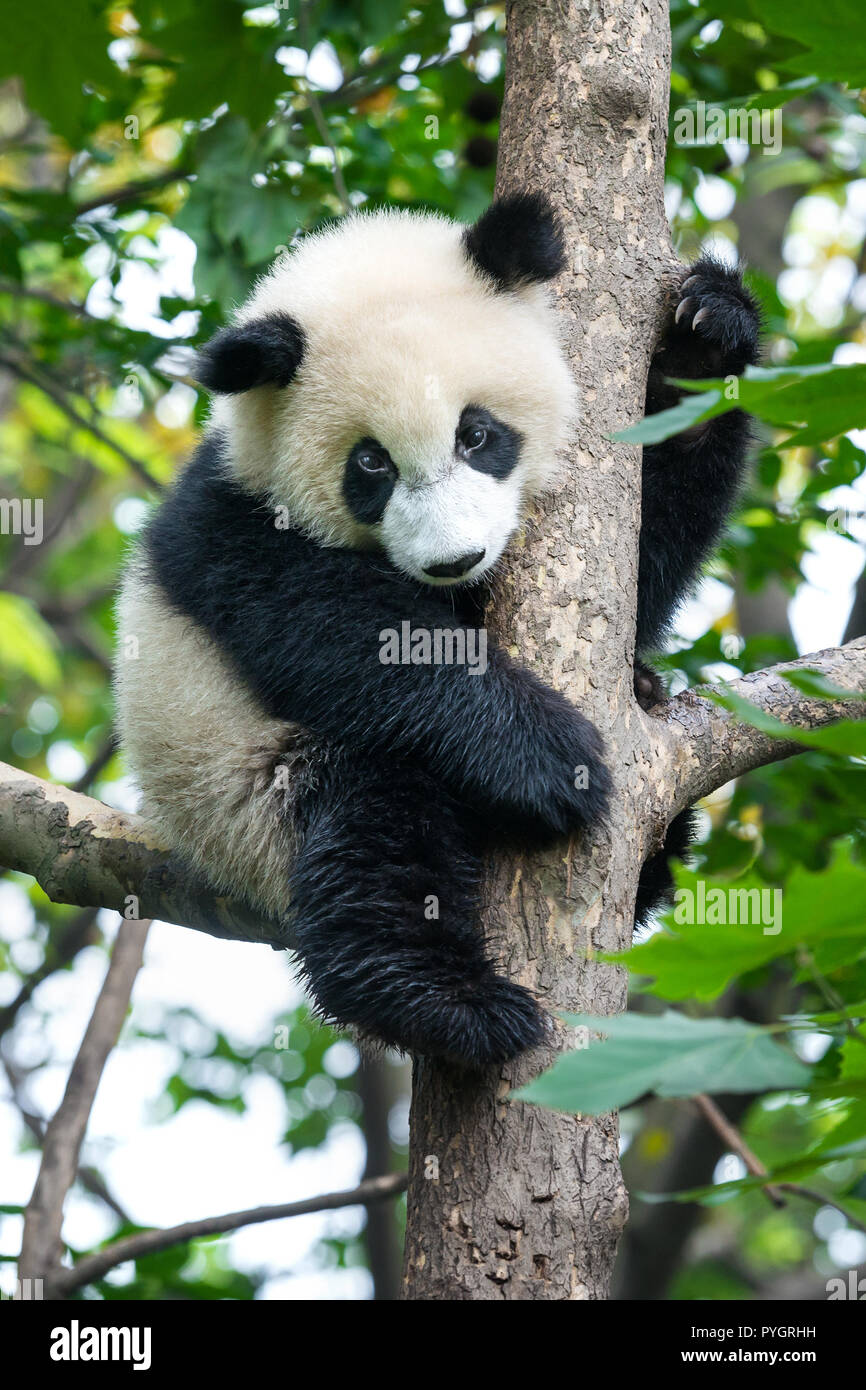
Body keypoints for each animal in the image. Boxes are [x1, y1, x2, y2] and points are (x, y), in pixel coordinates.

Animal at [115, 193, 760, 1066]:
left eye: (476, 434)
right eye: (371, 465)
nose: (455, 560)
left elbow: (645, 555)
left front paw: (704, 335)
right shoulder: (233, 526)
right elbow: (343, 630)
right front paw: (548, 759)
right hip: (245, 789)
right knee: (380, 830)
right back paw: (446, 1002)